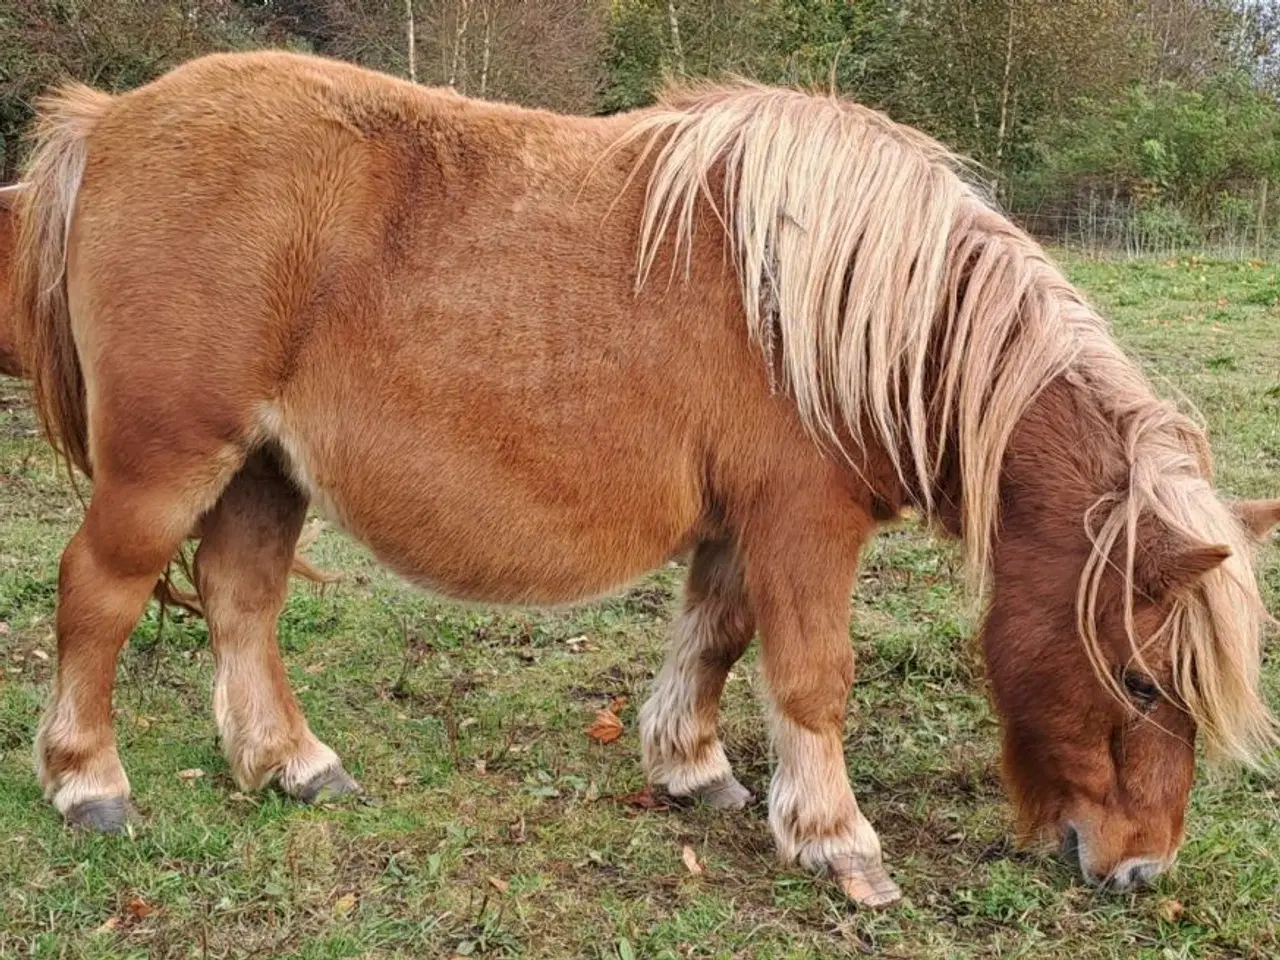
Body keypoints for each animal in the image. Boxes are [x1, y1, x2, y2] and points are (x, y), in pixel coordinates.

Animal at [12, 52, 1280, 911]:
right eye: (1141, 682)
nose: (1139, 870)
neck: (849, 312)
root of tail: (111, 121)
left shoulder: (737, 527)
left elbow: (712, 641)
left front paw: (690, 768)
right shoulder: (802, 525)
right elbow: (811, 679)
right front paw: (836, 841)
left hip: (264, 471)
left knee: (241, 602)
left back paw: (291, 765)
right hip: (171, 462)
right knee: (100, 593)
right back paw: (87, 783)